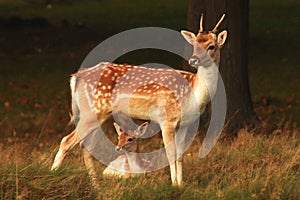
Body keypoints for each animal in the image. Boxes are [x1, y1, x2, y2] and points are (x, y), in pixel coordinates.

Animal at [51, 14, 227, 188]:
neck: (192, 93)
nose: (194, 59)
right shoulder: (167, 119)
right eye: (195, 45)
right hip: (92, 111)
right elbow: (170, 154)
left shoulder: (185, 123)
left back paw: (96, 186)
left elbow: (180, 155)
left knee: (85, 147)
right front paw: (174, 185)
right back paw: (53, 175)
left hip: (102, 116)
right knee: (66, 141)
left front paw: (181, 184)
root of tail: (76, 77)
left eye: (211, 46)